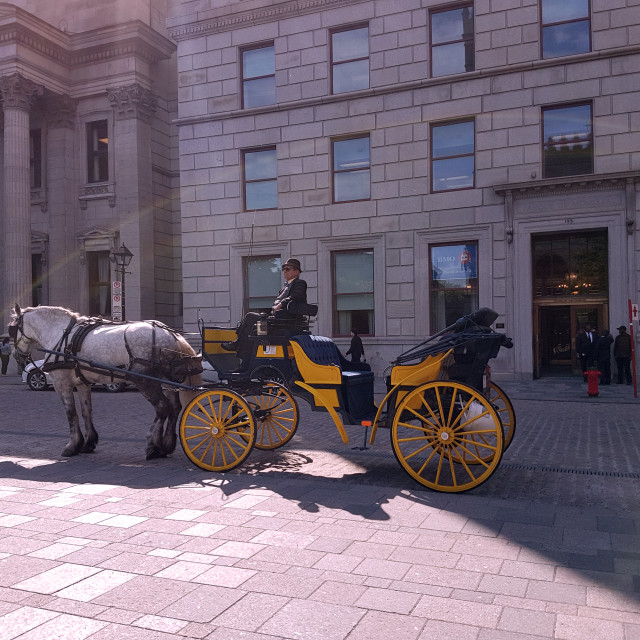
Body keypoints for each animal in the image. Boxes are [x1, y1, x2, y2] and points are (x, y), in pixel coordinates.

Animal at [9, 304, 202, 460]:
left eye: (11, 328)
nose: (16, 355)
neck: (61, 334)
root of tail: (171, 333)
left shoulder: (62, 383)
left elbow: (71, 413)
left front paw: (72, 445)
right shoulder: (83, 383)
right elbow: (86, 411)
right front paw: (88, 442)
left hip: (145, 381)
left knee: (162, 407)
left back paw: (153, 445)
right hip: (167, 380)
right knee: (174, 407)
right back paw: (167, 445)